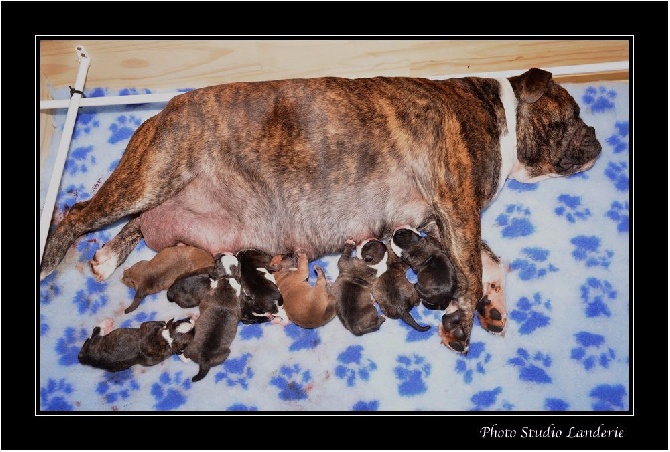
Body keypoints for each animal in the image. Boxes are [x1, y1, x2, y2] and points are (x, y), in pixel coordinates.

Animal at [42, 69, 604, 354]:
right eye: (573, 114)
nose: (597, 138)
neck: (499, 113)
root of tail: (158, 114)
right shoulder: (457, 205)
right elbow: (468, 269)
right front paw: (463, 320)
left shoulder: (445, 219)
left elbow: (491, 264)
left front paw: (492, 307)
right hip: (151, 175)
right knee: (76, 214)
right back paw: (55, 259)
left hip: (163, 197)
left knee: (134, 224)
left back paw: (107, 257)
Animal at [184, 252, 244, 384]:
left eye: (217, 261)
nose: (223, 252)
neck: (227, 278)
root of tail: (205, 359)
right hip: (222, 354)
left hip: (191, 347)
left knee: (184, 355)